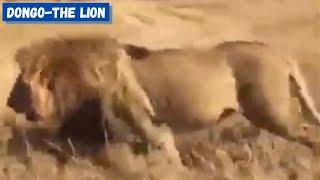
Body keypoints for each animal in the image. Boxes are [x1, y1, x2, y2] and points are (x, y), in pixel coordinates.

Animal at [9, 35, 320, 166]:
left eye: (20, 83)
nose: (10, 103)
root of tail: (279, 52)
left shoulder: (144, 121)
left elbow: (165, 150)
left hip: (271, 112)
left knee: (308, 133)